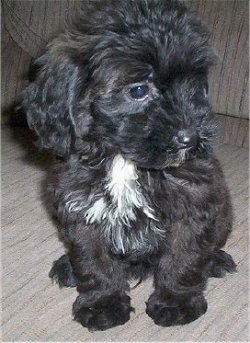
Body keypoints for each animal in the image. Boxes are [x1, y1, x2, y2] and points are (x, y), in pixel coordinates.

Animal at [22, 0, 236, 334]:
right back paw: (68, 267)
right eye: (138, 90)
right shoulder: (81, 210)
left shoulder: (194, 202)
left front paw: (176, 302)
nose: (191, 137)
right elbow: (94, 263)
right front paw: (102, 303)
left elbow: (184, 258)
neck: (124, 161)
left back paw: (215, 261)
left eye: (196, 84)